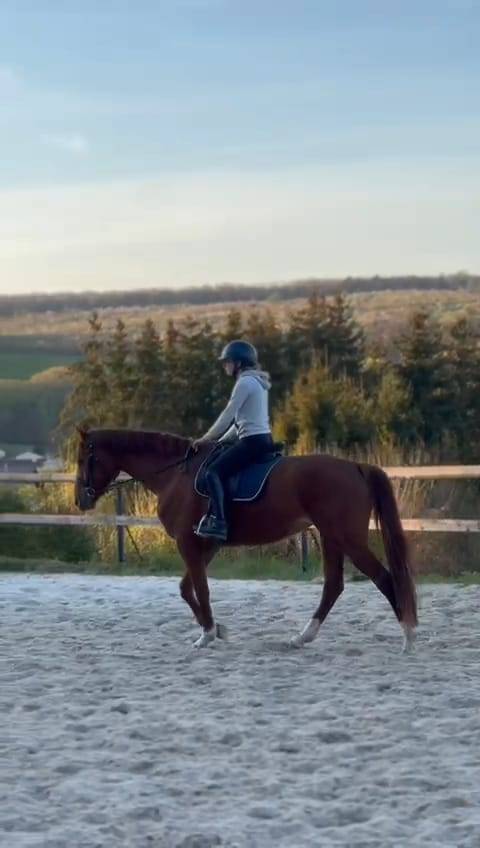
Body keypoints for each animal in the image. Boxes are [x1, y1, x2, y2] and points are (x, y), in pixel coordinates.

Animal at [74, 427, 418, 651]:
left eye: (84, 460)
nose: (81, 500)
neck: (175, 475)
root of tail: (356, 467)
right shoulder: (207, 544)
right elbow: (187, 589)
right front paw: (218, 630)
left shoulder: (188, 542)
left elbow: (200, 589)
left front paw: (208, 634)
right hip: (332, 537)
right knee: (334, 585)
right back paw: (302, 637)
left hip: (347, 539)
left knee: (384, 578)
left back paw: (408, 636)